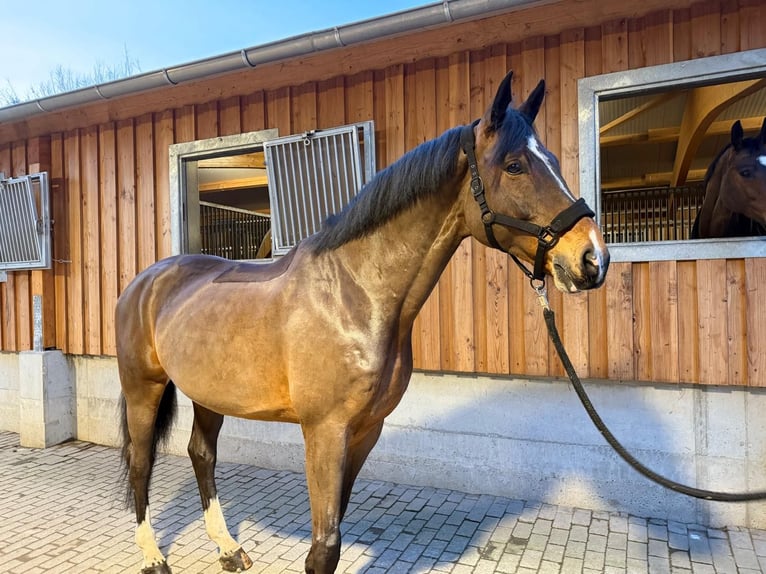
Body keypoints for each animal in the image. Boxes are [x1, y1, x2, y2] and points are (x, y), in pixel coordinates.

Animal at [116, 70, 610, 574]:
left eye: (552, 159)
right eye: (514, 166)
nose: (593, 258)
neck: (356, 294)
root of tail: (146, 281)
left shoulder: (365, 431)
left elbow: (334, 537)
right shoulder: (325, 432)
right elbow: (324, 547)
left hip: (208, 393)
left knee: (201, 454)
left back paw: (229, 549)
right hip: (143, 387)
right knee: (141, 462)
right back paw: (153, 556)